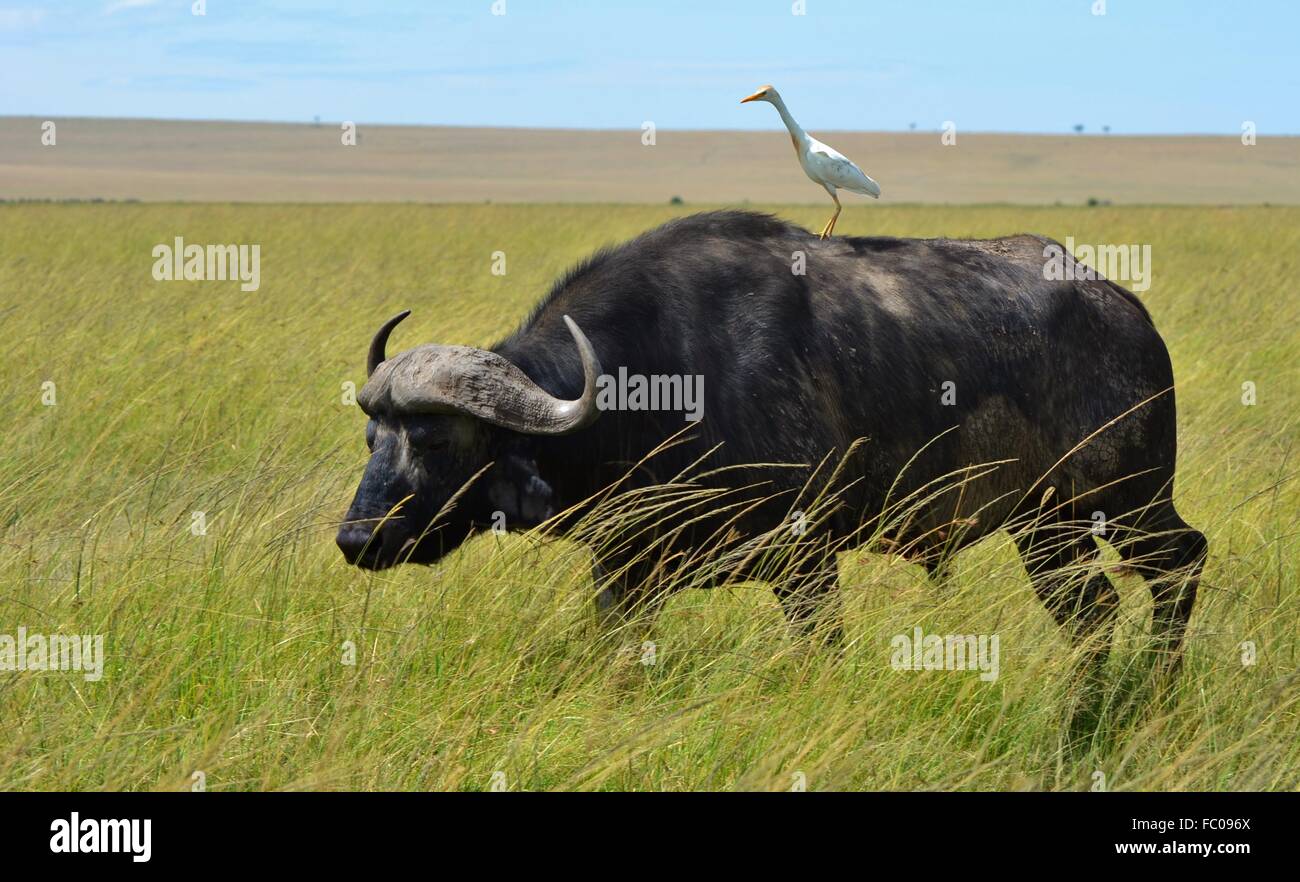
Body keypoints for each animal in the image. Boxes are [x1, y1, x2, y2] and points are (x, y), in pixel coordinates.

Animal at [338, 212, 1206, 676]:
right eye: (374, 435)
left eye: (434, 438)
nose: (356, 539)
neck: (658, 378)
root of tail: (1126, 309)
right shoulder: (625, 571)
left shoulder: (806, 560)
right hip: (1048, 527)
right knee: (1094, 613)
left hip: (1128, 500)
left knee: (1181, 563)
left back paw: (1152, 690)